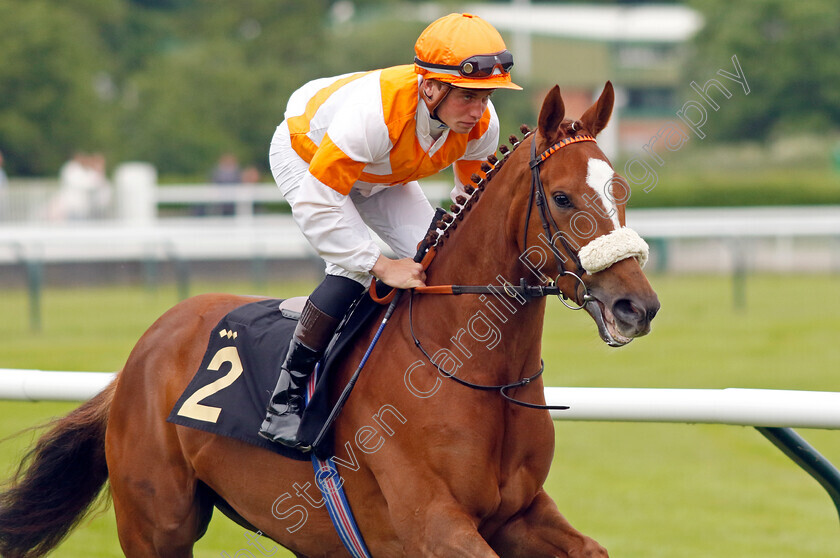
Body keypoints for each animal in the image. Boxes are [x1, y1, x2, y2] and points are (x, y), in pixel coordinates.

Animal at [0, 83, 656, 558]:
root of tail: (138, 356)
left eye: (621, 191)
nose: (638, 307)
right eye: (564, 198)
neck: (466, 369)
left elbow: (592, 549)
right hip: (156, 524)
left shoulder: (519, 512)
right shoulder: (433, 524)